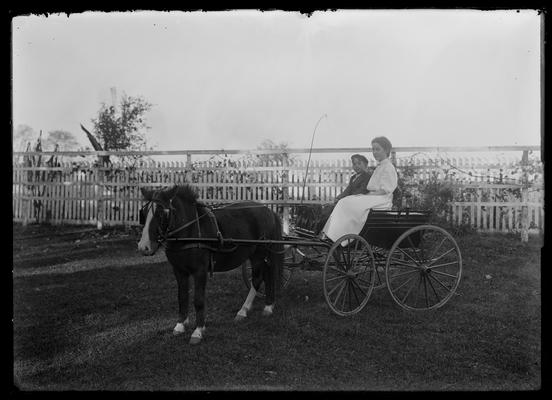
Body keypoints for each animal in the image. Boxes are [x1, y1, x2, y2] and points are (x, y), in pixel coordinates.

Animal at [137, 184, 284, 344]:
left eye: (161, 214)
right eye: (143, 213)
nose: (143, 247)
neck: (190, 231)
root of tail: (268, 211)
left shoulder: (200, 271)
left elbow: (198, 300)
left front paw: (198, 331)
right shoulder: (179, 271)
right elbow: (182, 297)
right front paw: (180, 325)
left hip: (260, 254)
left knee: (261, 277)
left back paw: (256, 308)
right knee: (264, 276)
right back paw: (257, 307)